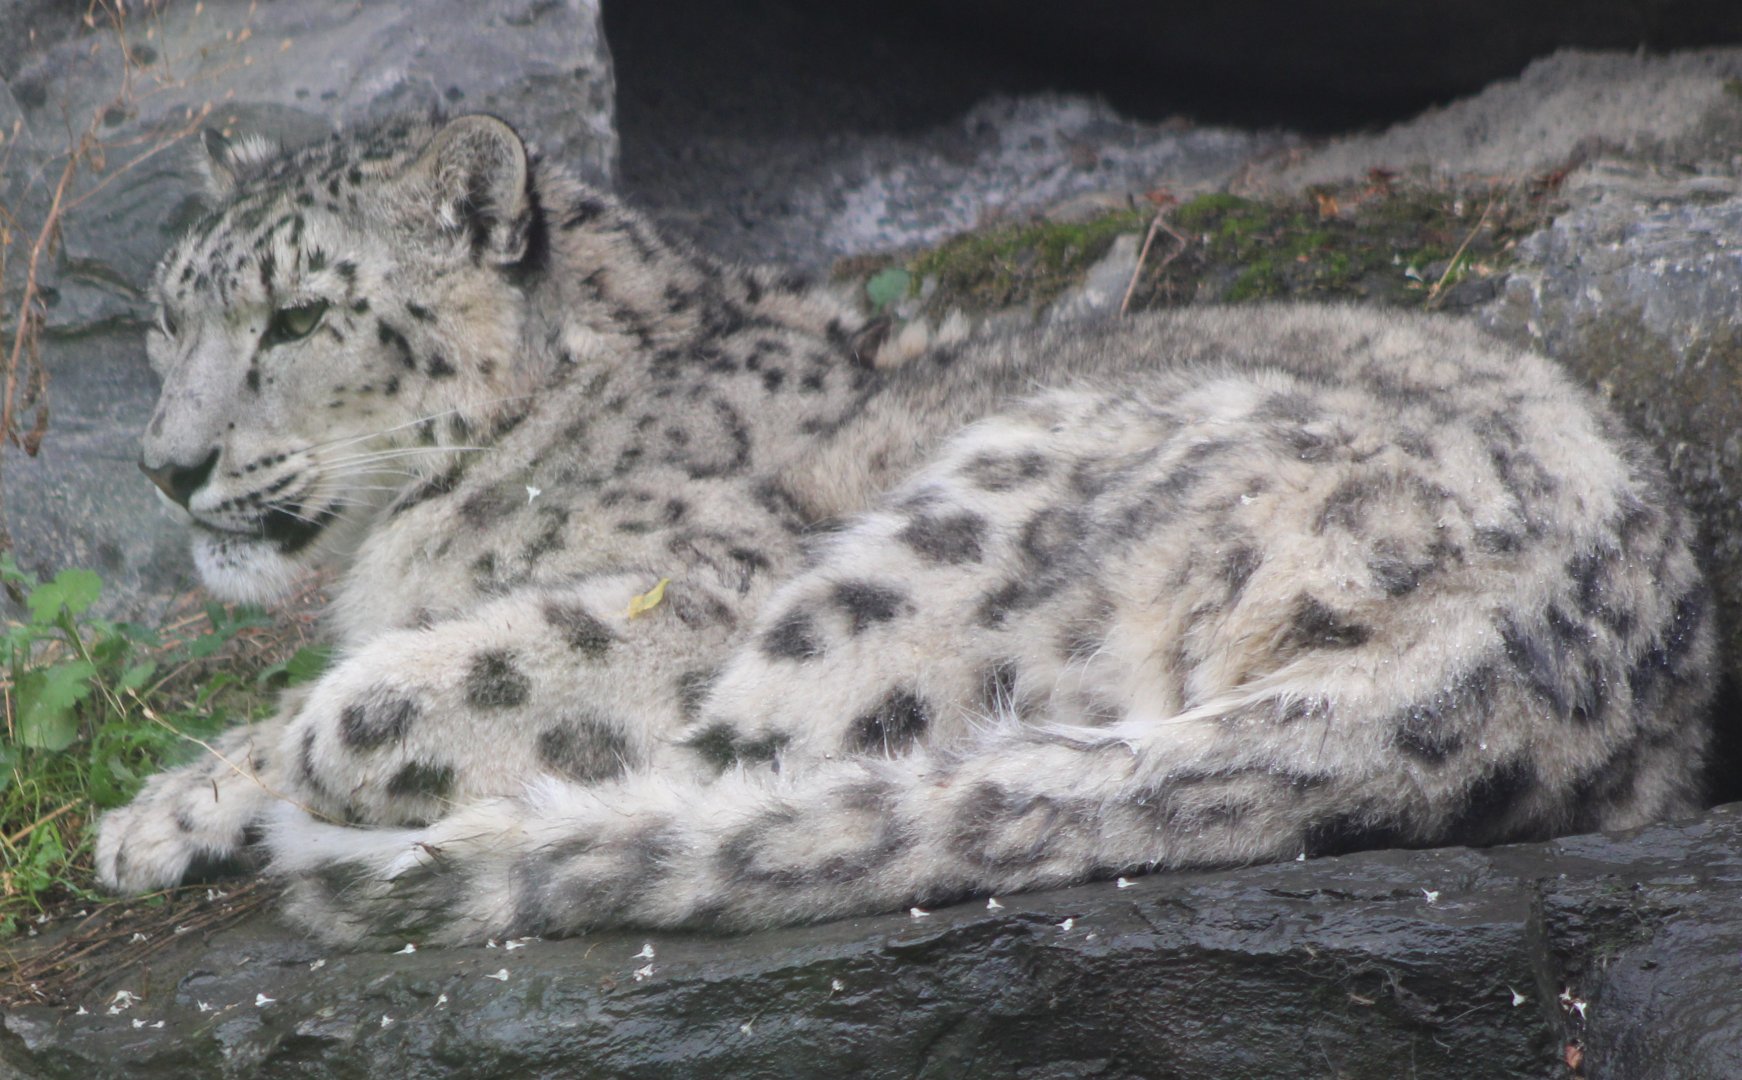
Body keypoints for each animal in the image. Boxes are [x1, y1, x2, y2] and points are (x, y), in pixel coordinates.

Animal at [95, 113, 1715, 946]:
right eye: (168, 315)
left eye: (296, 319)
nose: (166, 465)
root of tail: (1526, 651)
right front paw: (151, 817)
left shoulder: (691, 586)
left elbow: (380, 703)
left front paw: (276, 757)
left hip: (934, 546)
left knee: (758, 766)